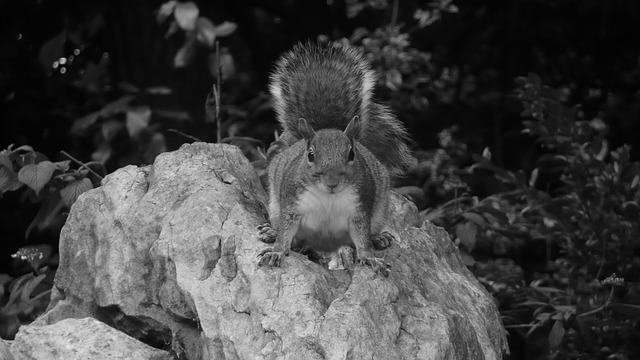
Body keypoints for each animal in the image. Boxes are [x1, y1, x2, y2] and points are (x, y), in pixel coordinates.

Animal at [256, 40, 416, 274]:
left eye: (351, 154)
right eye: (310, 155)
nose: (332, 182)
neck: (328, 197)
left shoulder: (361, 210)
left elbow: (362, 238)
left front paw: (370, 257)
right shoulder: (290, 205)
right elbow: (286, 231)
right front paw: (277, 250)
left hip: (379, 210)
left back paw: (379, 238)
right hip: (275, 205)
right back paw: (271, 232)